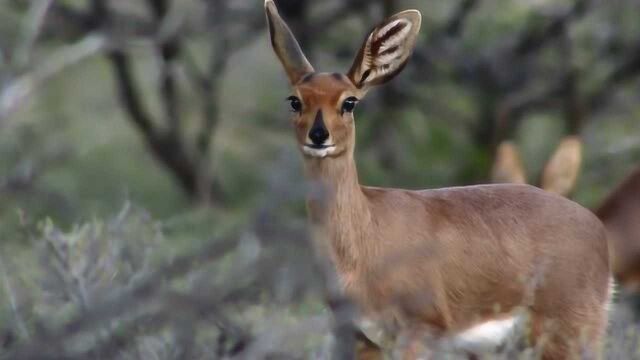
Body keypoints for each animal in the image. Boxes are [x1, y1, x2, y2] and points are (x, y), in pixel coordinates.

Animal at [264, 1, 608, 358]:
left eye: (349, 101)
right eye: (295, 100)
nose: (319, 135)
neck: (366, 237)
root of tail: (597, 228)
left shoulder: (419, 330)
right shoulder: (360, 337)